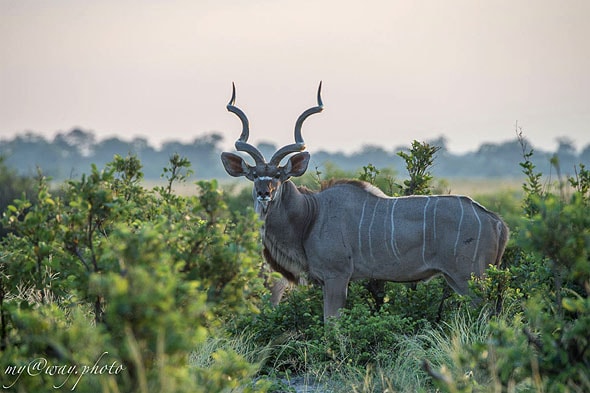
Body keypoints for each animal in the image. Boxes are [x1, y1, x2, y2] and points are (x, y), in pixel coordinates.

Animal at [220, 83, 512, 322]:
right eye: (253, 175)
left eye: (279, 176)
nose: (264, 193)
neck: (311, 215)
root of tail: (496, 221)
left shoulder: (337, 276)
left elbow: (331, 324)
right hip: (458, 278)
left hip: (469, 277)